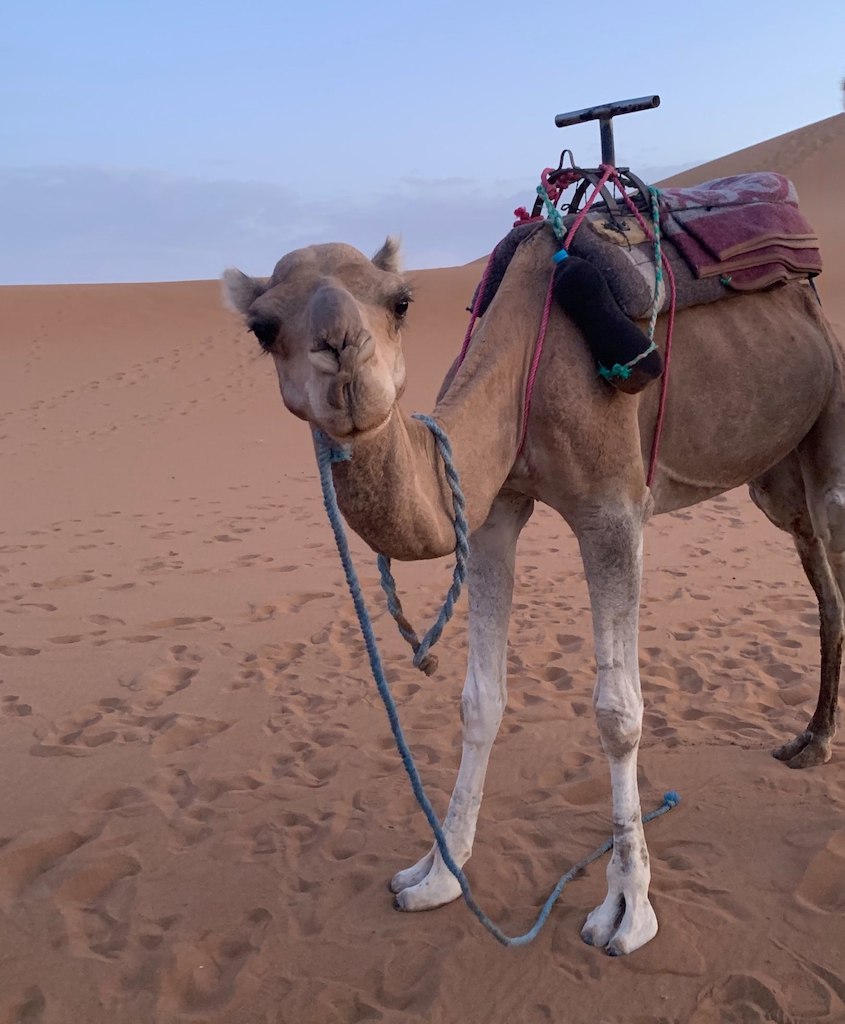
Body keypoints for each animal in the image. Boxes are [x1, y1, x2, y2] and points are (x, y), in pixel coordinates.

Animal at [221, 228, 839, 954]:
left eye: (399, 301)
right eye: (263, 327)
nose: (342, 352)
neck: (526, 369)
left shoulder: (612, 510)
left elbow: (618, 714)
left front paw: (627, 907)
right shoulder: (492, 511)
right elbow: (479, 701)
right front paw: (438, 875)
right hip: (776, 477)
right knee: (825, 588)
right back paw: (810, 741)